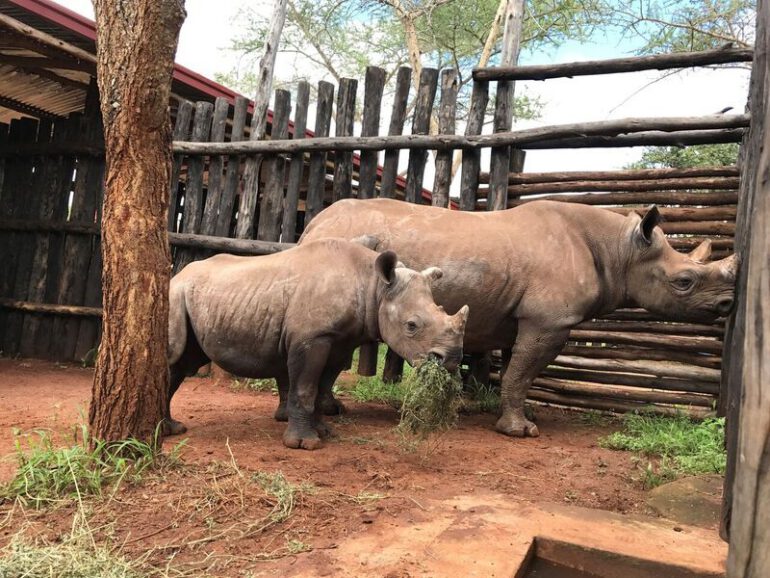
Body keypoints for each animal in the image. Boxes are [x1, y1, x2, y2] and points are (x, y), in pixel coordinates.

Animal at [167, 238, 468, 449]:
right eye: (411, 326)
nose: (451, 360)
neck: (374, 286)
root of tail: (176, 276)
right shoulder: (312, 337)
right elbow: (305, 387)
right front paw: (304, 444)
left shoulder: (340, 341)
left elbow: (323, 385)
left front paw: (324, 431)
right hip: (175, 296)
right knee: (175, 358)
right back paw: (171, 430)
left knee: (184, 362)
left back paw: (171, 429)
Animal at [300, 198, 738, 438]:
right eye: (684, 282)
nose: (727, 306)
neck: (621, 250)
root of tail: (315, 221)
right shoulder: (551, 320)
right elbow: (523, 372)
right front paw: (520, 431)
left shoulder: (531, 318)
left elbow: (518, 369)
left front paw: (515, 415)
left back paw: (332, 410)